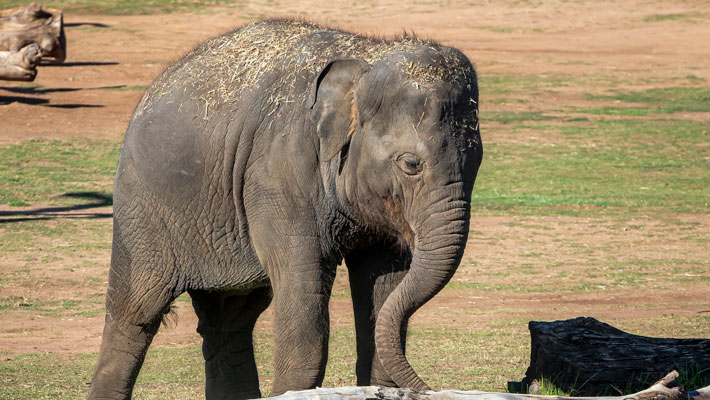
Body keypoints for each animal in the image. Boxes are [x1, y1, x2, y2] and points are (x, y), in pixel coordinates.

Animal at [85, 18, 484, 400]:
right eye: (411, 164)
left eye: (477, 161)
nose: (428, 387)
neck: (365, 59)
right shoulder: (278, 175)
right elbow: (304, 301)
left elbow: (384, 284)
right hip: (142, 207)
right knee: (135, 313)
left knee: (230, 316)